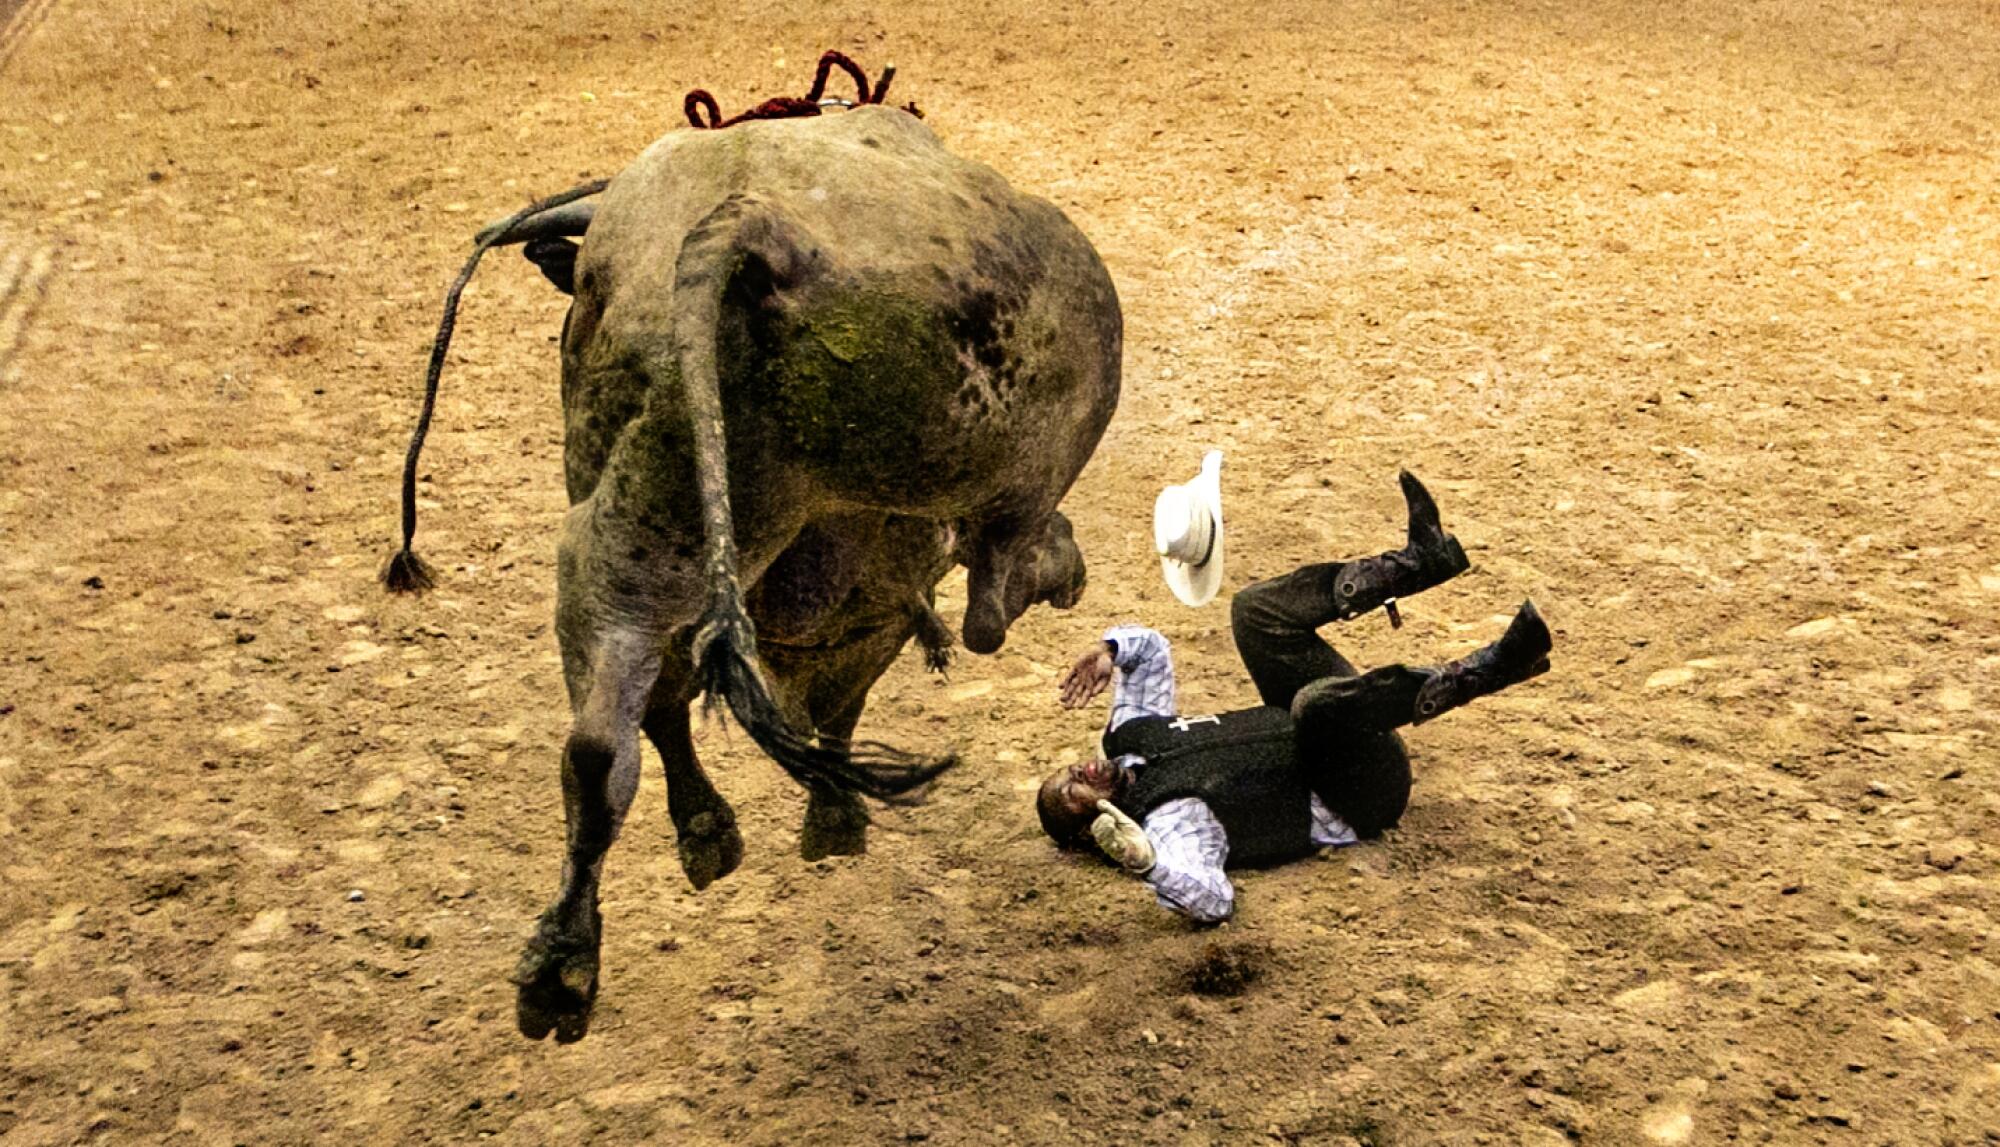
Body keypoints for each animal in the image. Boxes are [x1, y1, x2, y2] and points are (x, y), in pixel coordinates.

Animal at [382, 103, 1120, 1047]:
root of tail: (751, 231)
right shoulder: (875, 604)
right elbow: (846, 699)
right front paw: (834, 816)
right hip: (999, 444)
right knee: (996, 579)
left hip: (640, 524)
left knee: (601, 731)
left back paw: (564, 963)